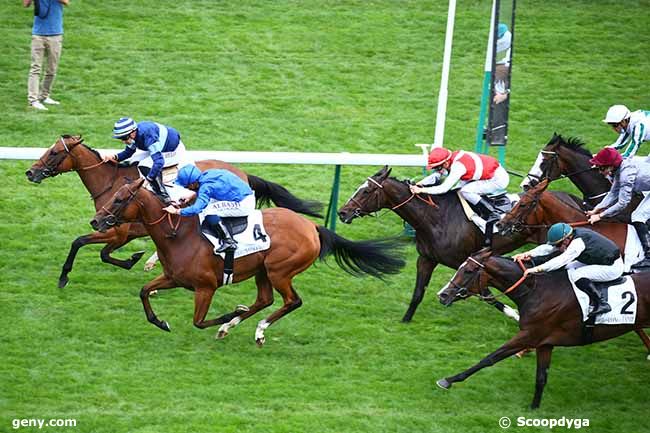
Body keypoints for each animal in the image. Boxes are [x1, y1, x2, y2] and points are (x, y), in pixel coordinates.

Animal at [27, 135, 322, 286]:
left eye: (54, 153)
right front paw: (136, 259)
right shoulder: (124, 232)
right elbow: (101, 252)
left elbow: (86, 245)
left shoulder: (118, 232)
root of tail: (243, 174)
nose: (30, 172)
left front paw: (64, 276)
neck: (111, 183)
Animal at [88, 176, 402, 344]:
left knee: (292, 301)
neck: (177, 235)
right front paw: (160, 322)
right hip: (262, 270)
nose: (96, 220)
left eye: (119, 200)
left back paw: (257, 330)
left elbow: (199, 321)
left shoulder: (206, 287)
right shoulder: (173, 278)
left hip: (279, 271)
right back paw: (233, 326)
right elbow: (144, 292)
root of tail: (312, 227)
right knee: (264, 299)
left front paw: (229, 314)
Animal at [336, 165, 556, 320]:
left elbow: (485, 294)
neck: (436, 218)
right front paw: (405, 321)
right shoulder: (426, 259)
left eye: (366, 191)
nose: (342, 212)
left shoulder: (468, 263)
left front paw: (515, 314)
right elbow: (418, 293)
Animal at [432, 248, 648, 406]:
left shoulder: (529, 335)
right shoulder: (545, 343)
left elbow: (490, 358)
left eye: (467, 271)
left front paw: (448, 380)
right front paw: (534, 408)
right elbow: (541, 378)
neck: (536, 291)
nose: (442, 295)